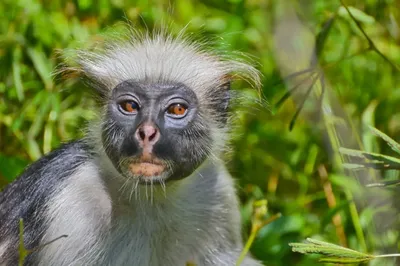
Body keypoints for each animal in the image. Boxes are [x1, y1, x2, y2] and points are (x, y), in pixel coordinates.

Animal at [0, 27, 262, 266]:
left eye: (177, 109)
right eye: (129, 106)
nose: (146, 133)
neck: (152, 198)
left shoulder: (217, 191)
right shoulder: (73, 202)